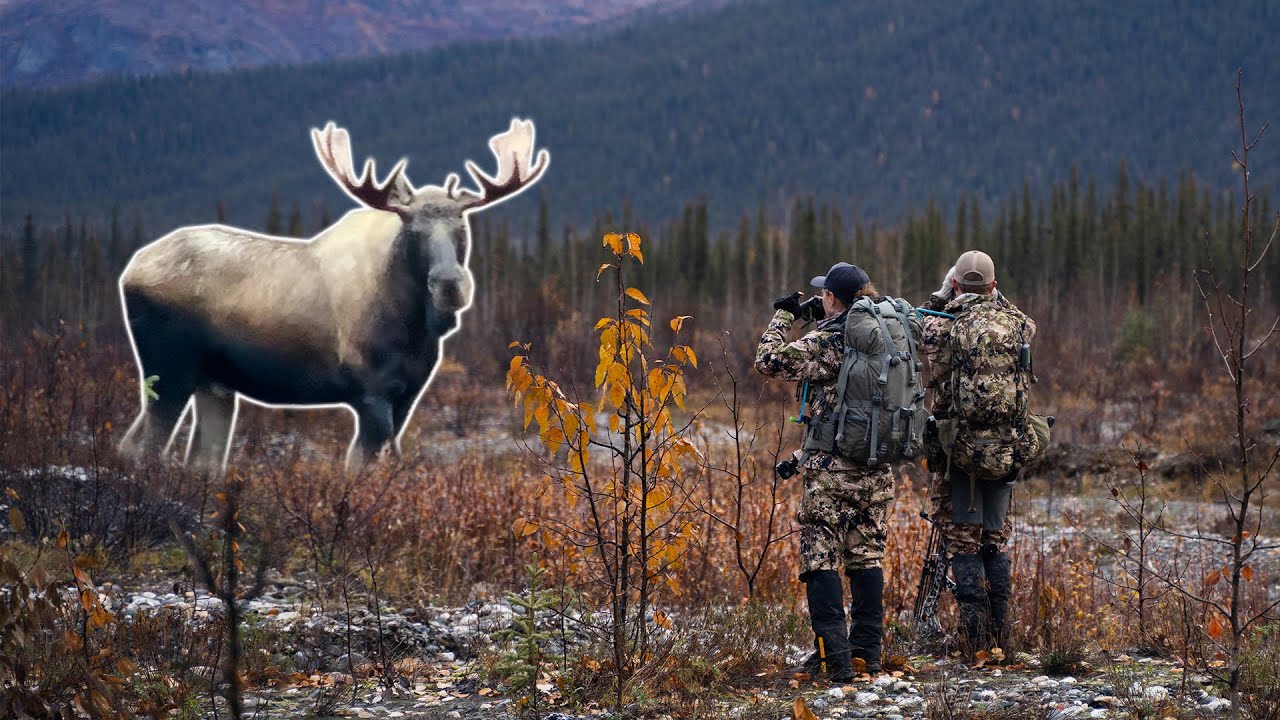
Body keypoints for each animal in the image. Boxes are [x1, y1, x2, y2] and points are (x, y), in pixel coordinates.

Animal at [118, 118, 549, 473]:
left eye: (462, 225)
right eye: (412, 229)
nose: (449, 284)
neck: (414, 328)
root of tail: (129, 271)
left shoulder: (408, 395)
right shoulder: (371, 394)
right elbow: (361, 469)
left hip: (214, 385)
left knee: (195, 459)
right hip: (169, 369)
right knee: (143, 446)